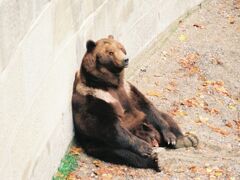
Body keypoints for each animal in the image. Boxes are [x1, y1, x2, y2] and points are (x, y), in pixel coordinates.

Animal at [71, 34, 199, 170]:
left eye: (121, 48)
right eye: (110, 52)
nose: (125, 59)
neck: (109, 83)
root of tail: (155, 139)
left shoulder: (127, 89)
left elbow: (145, 106)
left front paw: (170, 136)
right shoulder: (95, 97)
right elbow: (109, 126)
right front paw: (145, 147)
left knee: (166, 118)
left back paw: (185, 140)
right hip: (98, 144)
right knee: (121, 153)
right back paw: (154, 160)